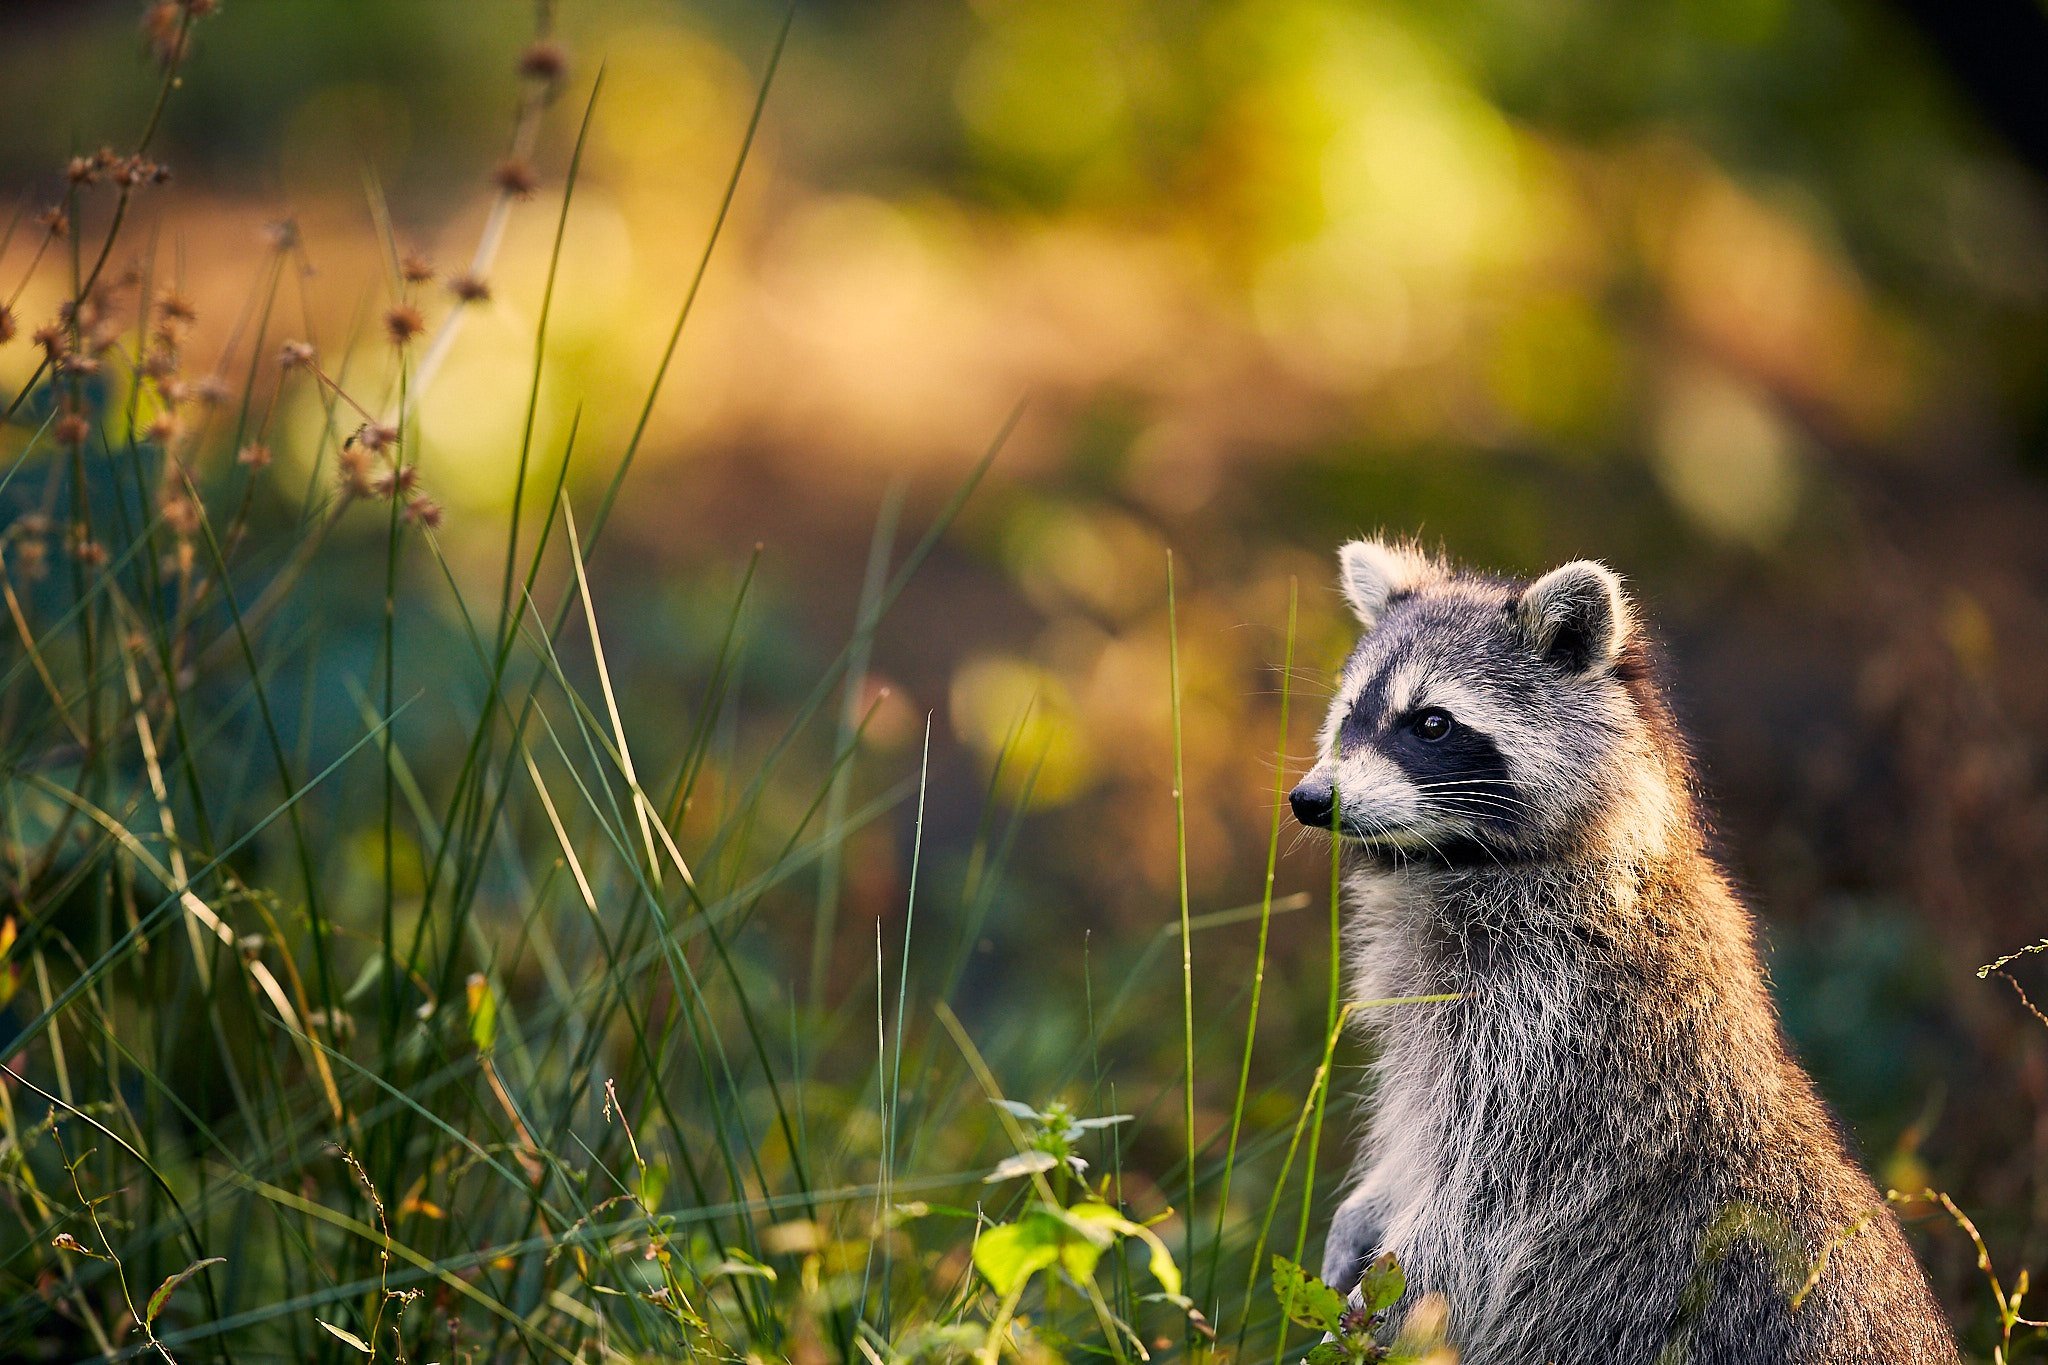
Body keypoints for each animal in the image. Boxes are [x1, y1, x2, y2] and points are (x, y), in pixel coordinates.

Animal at [1294, 540, 1949, 1365]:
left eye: (1432, 723)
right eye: (1351, 712)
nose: (1310, 799)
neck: (1462, 863)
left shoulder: (1561, 1044)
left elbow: (1479, 1218)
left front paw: (1366, 1310)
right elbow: (1412, 1139)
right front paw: (1362, 1211)